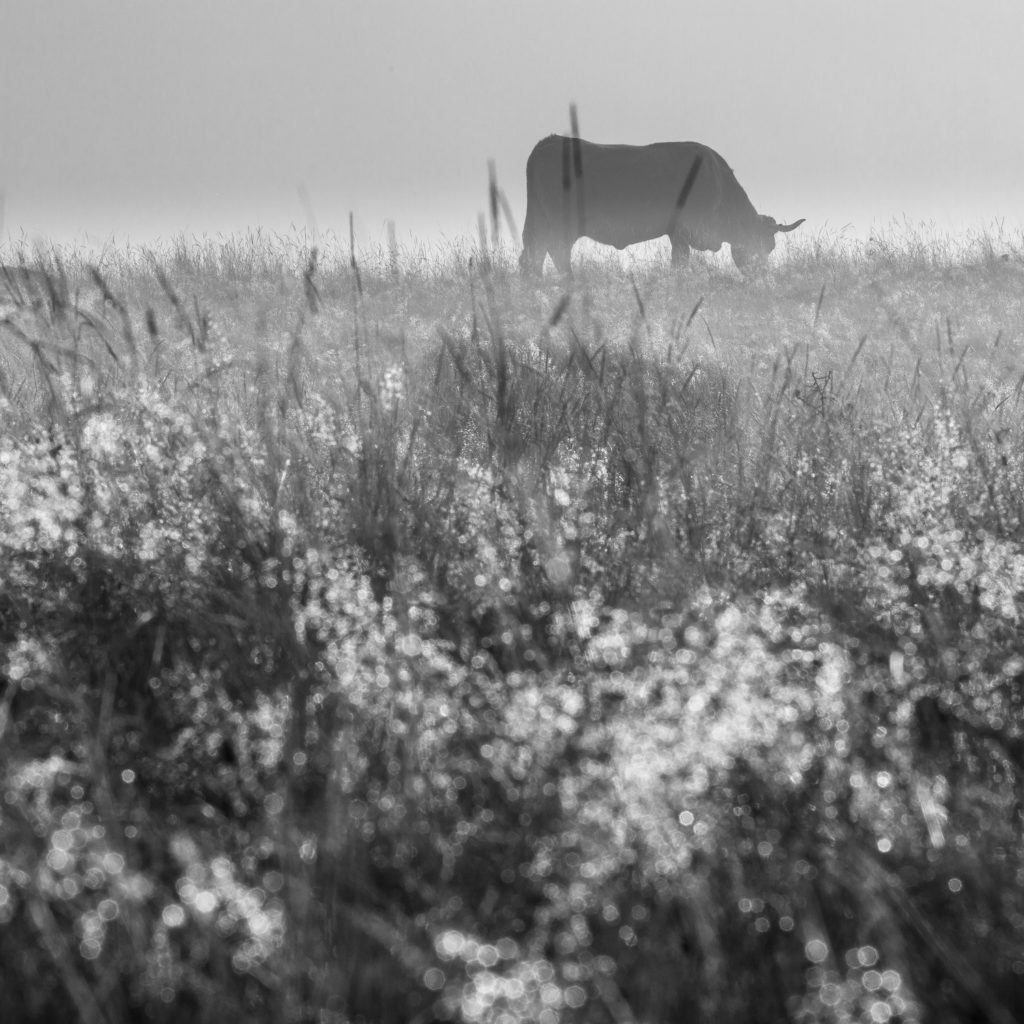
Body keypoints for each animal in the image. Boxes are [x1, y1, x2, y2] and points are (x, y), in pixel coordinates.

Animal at [524, 135, 802, 276]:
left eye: (770, 248)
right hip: (562, 225)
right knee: (557, 253)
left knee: (531, 256)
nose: (762, 275)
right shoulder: (682, 233)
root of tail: (550, 141)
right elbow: (679, 265)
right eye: (757, 246)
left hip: (537, 220)